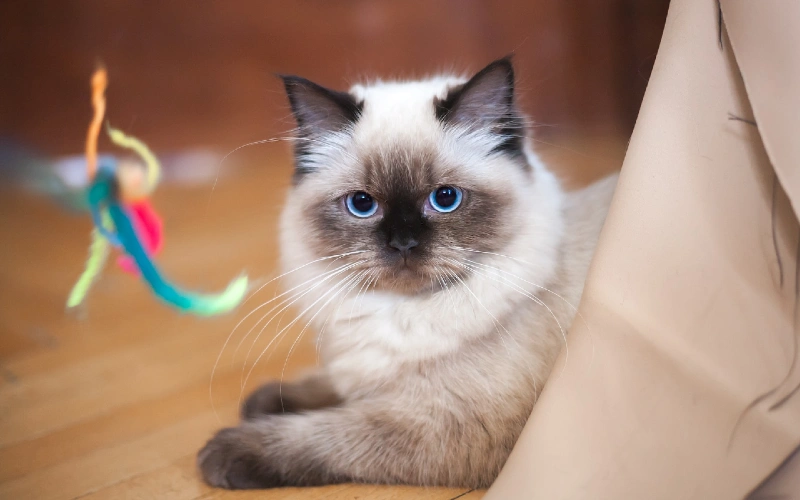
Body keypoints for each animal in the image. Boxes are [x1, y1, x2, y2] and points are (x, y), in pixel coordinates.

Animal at [197, 57, 616, 488]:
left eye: (445, 199)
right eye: (362, 204)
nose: (402, 243)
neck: (397, 310)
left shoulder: (449, 422)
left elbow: (329, 431)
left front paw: (225, 451)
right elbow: (330, 385)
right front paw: (264, 401)